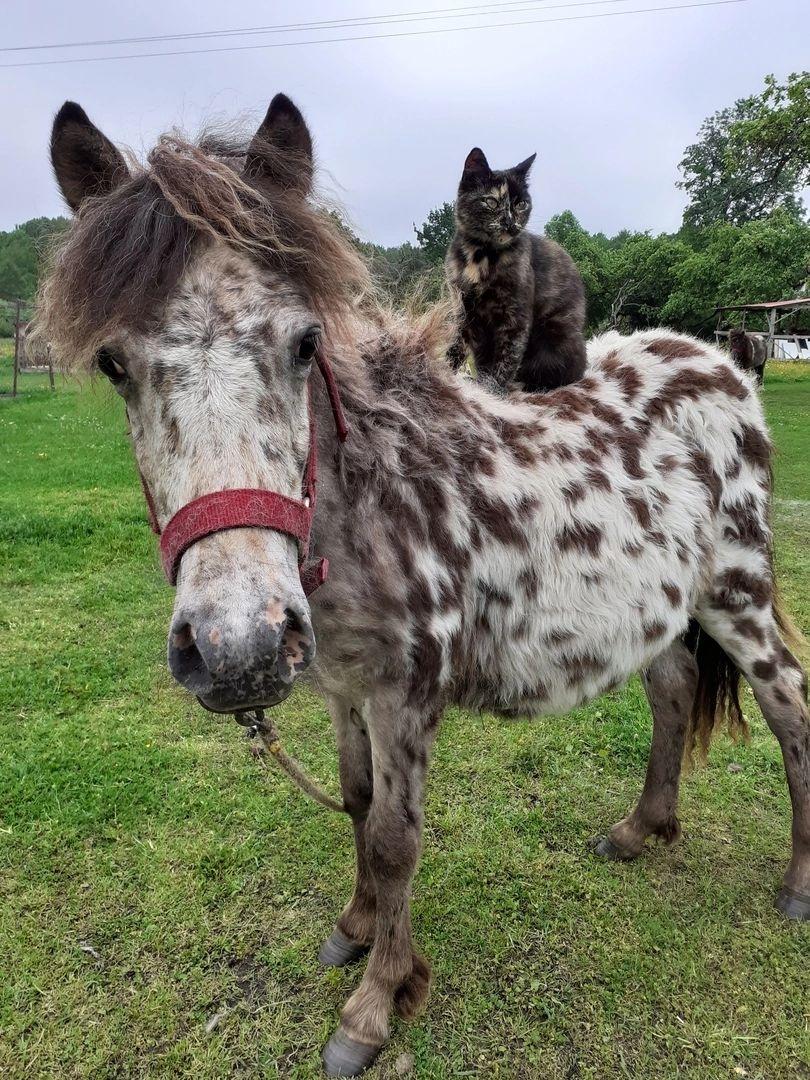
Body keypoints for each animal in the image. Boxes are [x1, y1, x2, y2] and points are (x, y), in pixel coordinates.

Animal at [447, 146, 587, 393]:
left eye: (521, 204)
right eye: (492, 202)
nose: (510, 223)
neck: (481, 255)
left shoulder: (515, 315)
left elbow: (507, 356)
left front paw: (493, 391)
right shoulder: (463, 308)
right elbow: (458, 345)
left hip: (554, 333)